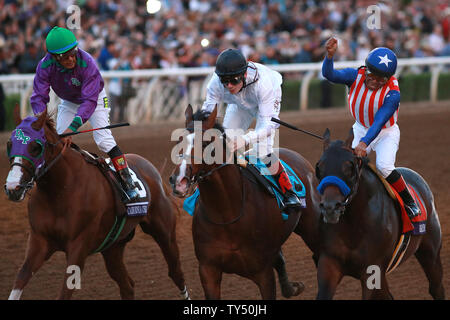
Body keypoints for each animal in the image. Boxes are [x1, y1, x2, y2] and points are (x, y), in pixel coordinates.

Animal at [3, 109, 188, 300]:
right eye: (10, 144)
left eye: (35, 147)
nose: (13, 188)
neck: (60, 190)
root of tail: (151, 168)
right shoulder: (39, 241)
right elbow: (21, 278)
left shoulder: (79, 246)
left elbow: (65, 292)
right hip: (113, 247)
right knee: (127, 285)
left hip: (164, 233)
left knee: (176, 273)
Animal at [169, 105, 320, 300]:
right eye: (178, 140)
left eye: (206, 143)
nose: (178, 181)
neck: (227, 214)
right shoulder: (208, 270)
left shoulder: (263, 273)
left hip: (312, 228)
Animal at [314, 128, 444, 300]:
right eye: (319, 167)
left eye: (349, 167)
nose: (330, 208)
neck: (353, 225)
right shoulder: (329, 264)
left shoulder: (373, 270)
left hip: (431, 253)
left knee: (436, 288)